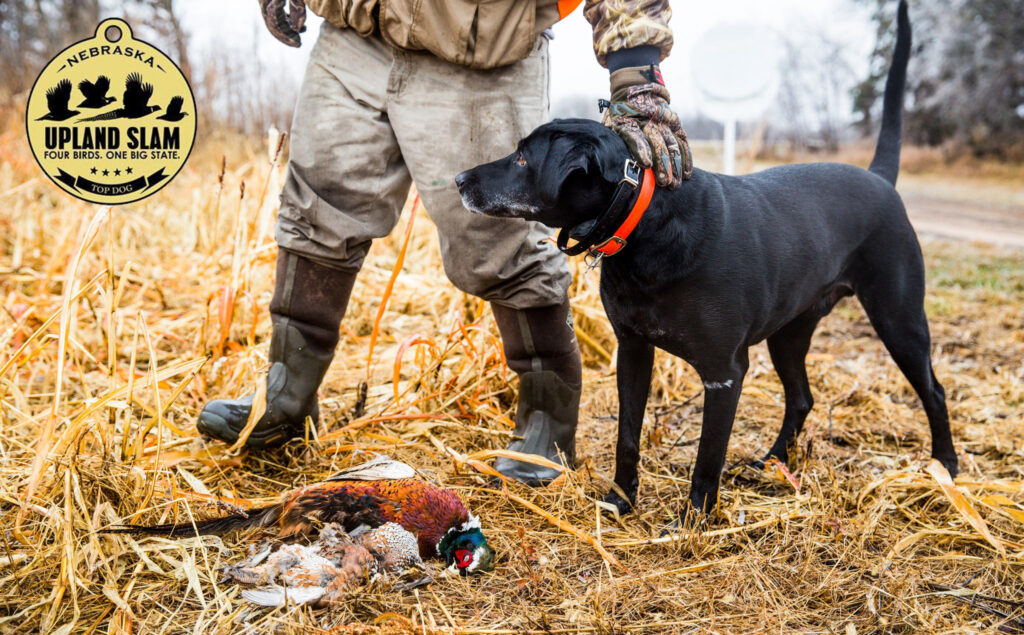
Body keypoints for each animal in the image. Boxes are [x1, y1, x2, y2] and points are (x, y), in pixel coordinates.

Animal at [452, 1, 954, 516]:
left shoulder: (725, 374)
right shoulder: (633, 350)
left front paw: (691, 521)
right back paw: (773, 463)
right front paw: (619, 502)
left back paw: (946, 467)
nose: (459, 180)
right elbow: (627, 437)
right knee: (801, 398)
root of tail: (880, 179)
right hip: (789, 333)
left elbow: (707, 457)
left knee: (933, 391)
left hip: (899, 319)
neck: (646, 223)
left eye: (522, 159)